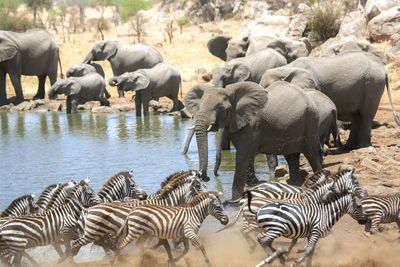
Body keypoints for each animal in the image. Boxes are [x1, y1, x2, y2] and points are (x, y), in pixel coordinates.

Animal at [193, 80, 322, 200]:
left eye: (220, 108)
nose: (207, 177)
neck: (231, 92)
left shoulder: (252, 124)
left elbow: (242, 157)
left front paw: (234, 201)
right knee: (292, 157)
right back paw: (295, 186)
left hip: (311, 120)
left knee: (312, 154)